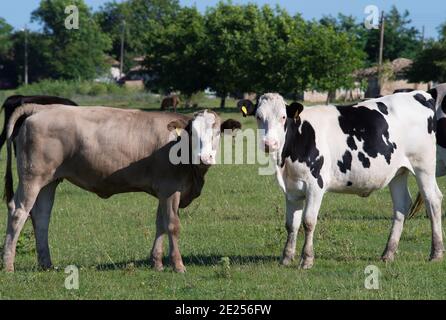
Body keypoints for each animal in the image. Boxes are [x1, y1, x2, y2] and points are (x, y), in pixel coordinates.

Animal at [2, 105, 240, 272]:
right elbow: (172, 225)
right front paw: (178, 265)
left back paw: (47, 264)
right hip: (32, 177)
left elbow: (160, 224)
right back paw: (8, 265)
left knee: (41, 216)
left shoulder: (162, 191)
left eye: (217, 132)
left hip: (49, 181)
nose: (204, 157)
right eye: (192, 133)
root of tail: (42, 108)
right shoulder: (170, 189)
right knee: (18, 212)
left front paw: (157, 262)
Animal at [242, 92, 444, 268]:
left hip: (423, 165)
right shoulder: (291, 190)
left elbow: (308, 222)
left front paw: (307, 260)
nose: (269, 144)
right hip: (398, 172)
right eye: (259, 116)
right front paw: (286, 258)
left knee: (433, 200)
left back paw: (436, 253)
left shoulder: (315, 186)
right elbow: (291, 224)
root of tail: (419, 94)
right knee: (401, 206)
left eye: (283, 117)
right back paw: (388, 254)